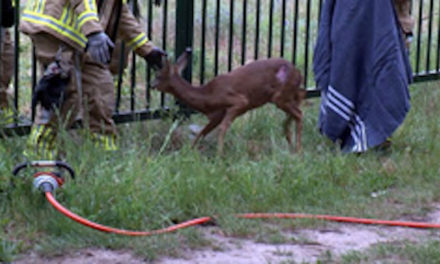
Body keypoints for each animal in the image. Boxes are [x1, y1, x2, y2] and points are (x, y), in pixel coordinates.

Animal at [153, 49, 308, 155]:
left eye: (158, 75)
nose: (151, 84)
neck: (207, 96)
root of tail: (299, 73)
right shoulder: (216, 116)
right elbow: (202, 132)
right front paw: (187, 152)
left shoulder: (239, 101)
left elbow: (223, 128)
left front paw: (219, 156)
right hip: (286, 96)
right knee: (296, 109)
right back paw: (290, 143)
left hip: (280, 96)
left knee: (299, 114)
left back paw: (298, 149)